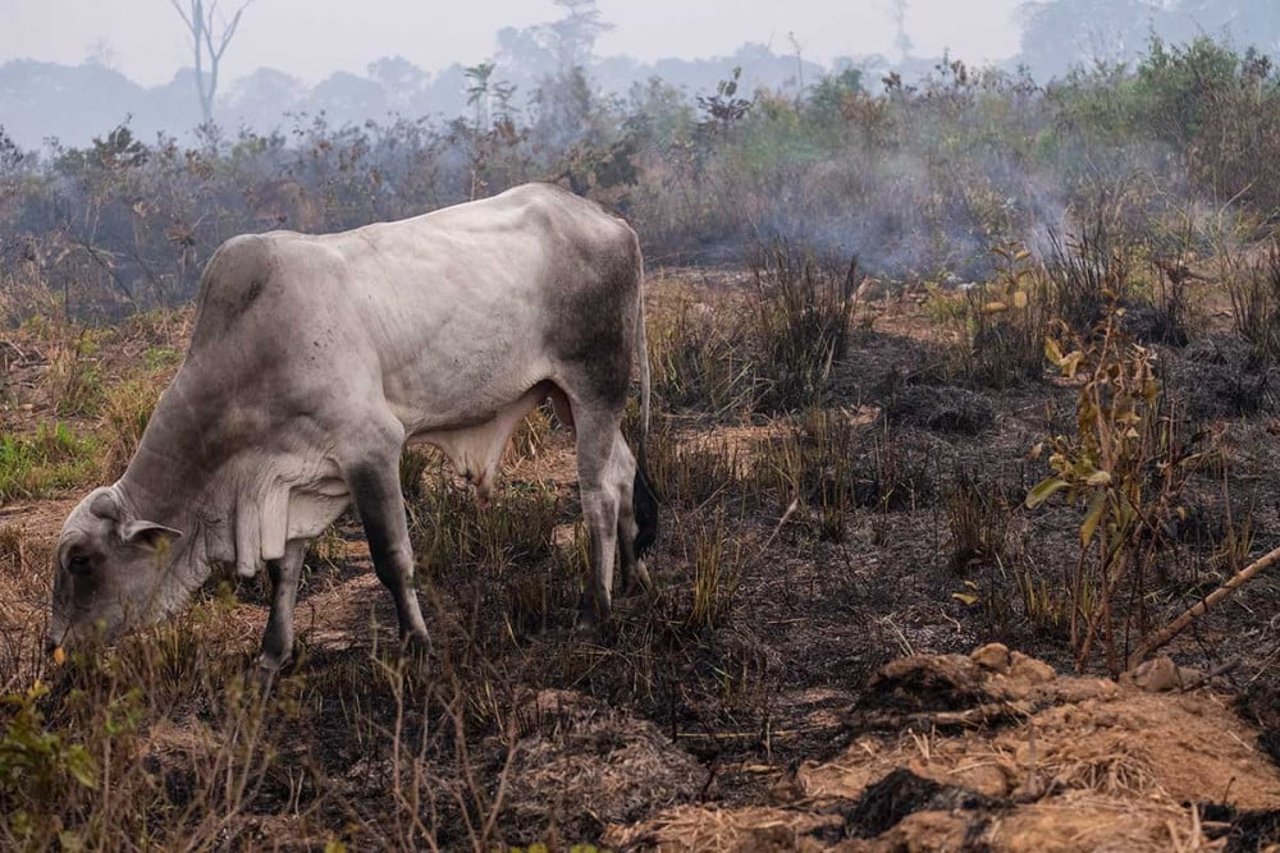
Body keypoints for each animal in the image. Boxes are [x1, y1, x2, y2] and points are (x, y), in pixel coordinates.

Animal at [45, 183, 655, 666]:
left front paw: (417, 645)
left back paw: (595, 609)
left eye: (80, 561)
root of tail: (610, 220)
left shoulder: (372, 450)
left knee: (598, 494)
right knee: (623, 469)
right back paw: (635, 579)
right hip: (565, 398)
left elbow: (392, 559)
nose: (55, 646)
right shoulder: (296, 477)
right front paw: (273, 655)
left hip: (595, 384)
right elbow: (285, 571)